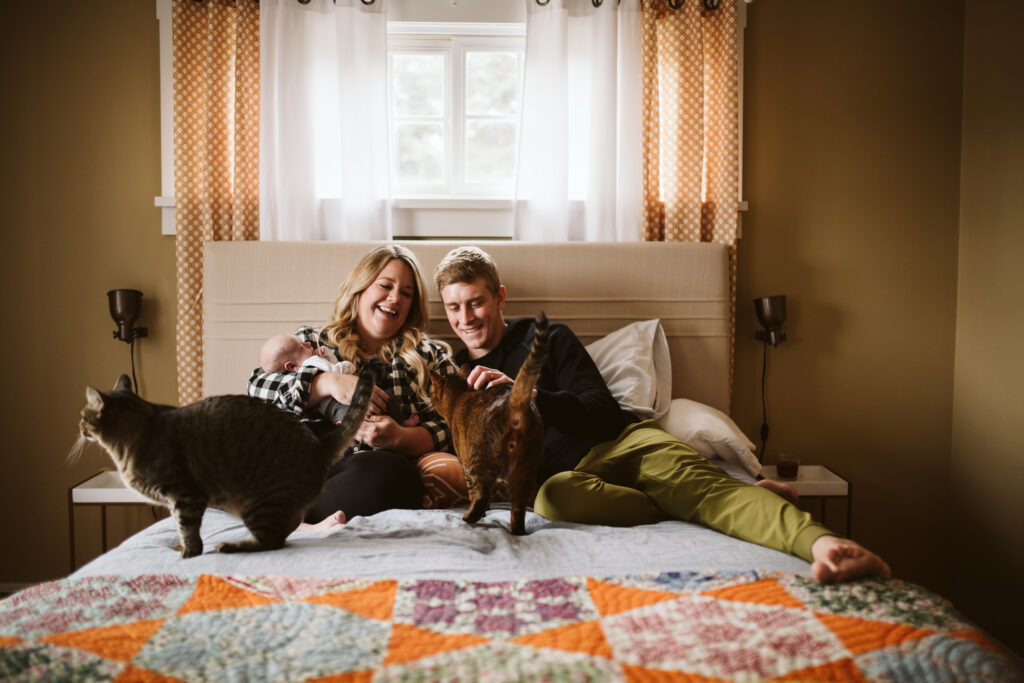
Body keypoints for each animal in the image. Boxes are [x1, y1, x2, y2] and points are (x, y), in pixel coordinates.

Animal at [75, 374, 374, 557]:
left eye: (82, 416)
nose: (78, 427)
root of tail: (318, 445)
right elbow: (182, 528)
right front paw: (180, 546)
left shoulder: (185, 496)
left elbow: (187, 528)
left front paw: (189, 552)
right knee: (287, 529)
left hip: (256, 503)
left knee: (273, 540)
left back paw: (232, 545)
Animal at [428, 313, 548, 536]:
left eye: (431, 391)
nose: (428, 396)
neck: (459, 397)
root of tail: (513, 402)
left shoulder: (465, 464)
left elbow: (473, 493)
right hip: (525, 466)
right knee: (518, 508)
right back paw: (517, 532)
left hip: (480, 460)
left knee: (483, 497)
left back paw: (468, 518)